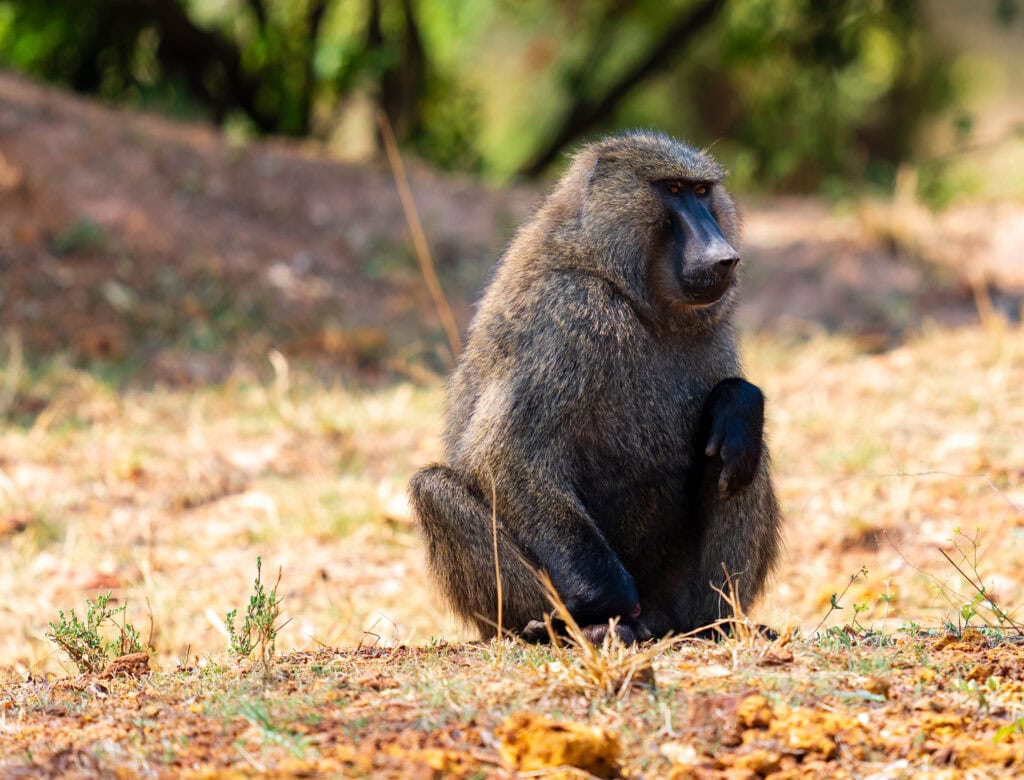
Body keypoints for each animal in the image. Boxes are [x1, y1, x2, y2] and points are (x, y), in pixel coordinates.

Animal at [409, 131, 781, 643]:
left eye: (702, 191)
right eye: (672, 190)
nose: (724, 258)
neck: (631, 295)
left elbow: (735, 412)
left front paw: (738, 399)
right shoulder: (569, 312)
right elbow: (507, 454)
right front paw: (601, 603)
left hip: (679, 598)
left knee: (741, 449)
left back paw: (714, 626)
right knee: (434, 489)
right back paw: (572, 628)